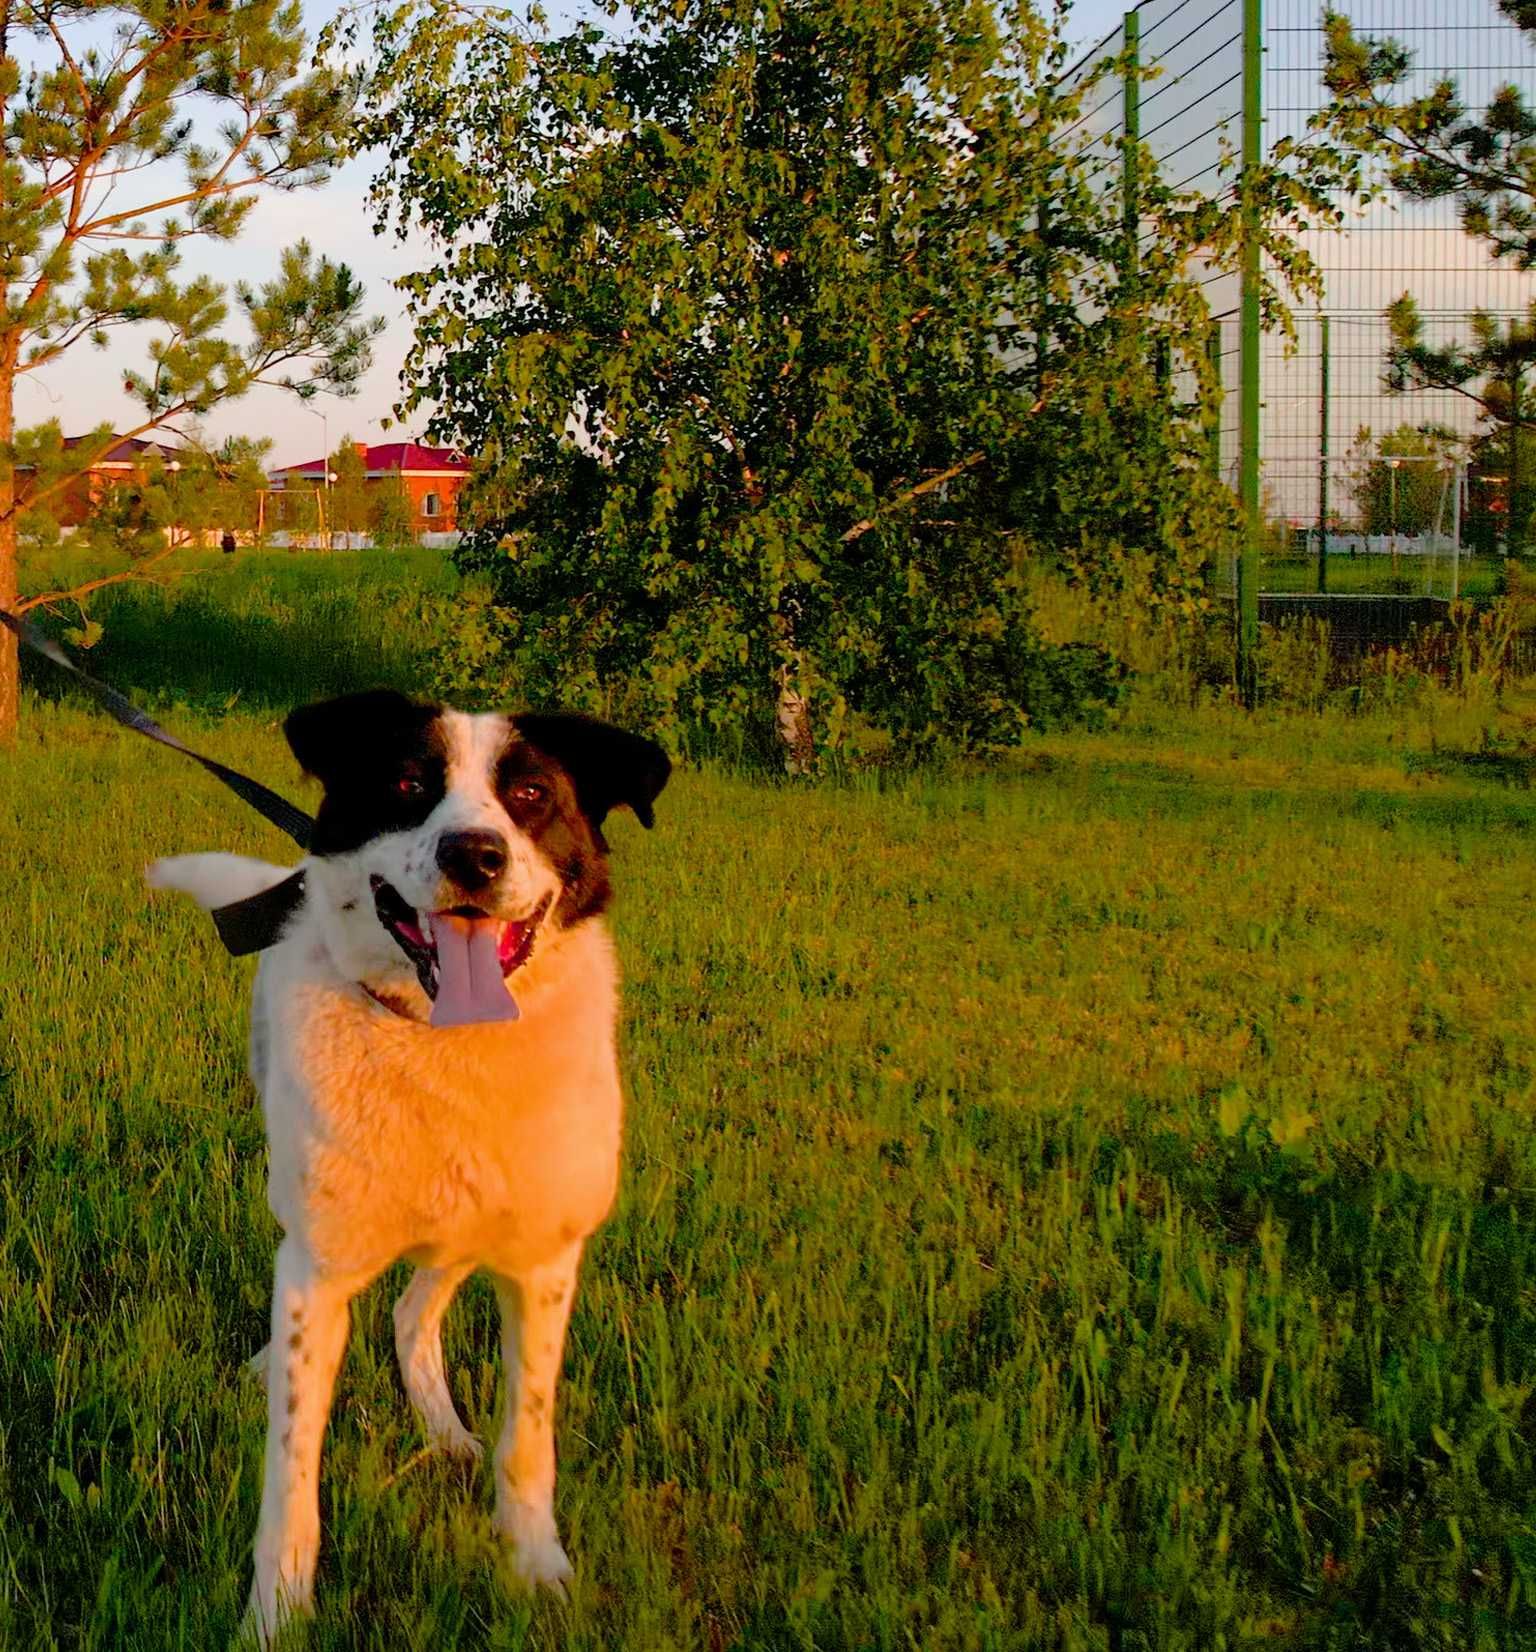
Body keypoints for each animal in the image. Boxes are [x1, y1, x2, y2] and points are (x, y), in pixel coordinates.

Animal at [146, 687, 667, 1638]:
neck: (446, 1045)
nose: (475, 854)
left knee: (414, 1309)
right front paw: (275, 1620)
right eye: (406, 784)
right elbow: (291, 1476)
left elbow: (528, 1439)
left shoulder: (542, 1262)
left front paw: (535, 1569)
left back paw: (445, 1429)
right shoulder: (317, 1270)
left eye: (531, 795)